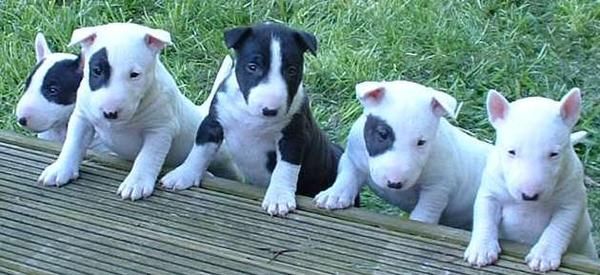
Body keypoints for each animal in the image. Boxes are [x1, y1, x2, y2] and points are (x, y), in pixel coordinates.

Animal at [35, 23, 239, 201]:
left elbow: (147, 156)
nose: (110, 113)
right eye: (97, 70)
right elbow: (73, 144)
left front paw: (136, 183)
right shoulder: (82, 117)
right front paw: (60, 169)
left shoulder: (160, 130)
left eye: (134, 75)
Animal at [161, 22, 346, 218]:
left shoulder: (293, 137)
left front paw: (278, 198)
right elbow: (200, 150)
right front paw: (183, 175)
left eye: (292, 70)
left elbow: (285, 168)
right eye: (252, 66)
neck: (252, 117)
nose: (270, 110)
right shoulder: (213, 123)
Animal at [314, 80, 492, 231]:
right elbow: (348, 173)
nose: (394, 183)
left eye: (421, 142)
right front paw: (334, 195)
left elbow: (426, 211)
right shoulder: (353, 155)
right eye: (383, 134)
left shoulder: (438, 188)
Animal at [464, 88, 596, 272]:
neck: (528, 207)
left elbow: (560, 226)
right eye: (511, 152)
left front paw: (543, 256)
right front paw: (481, 250)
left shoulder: (572, 201)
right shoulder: (490, 192)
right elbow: (485, 216)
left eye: (554, 154)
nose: (529, 195)